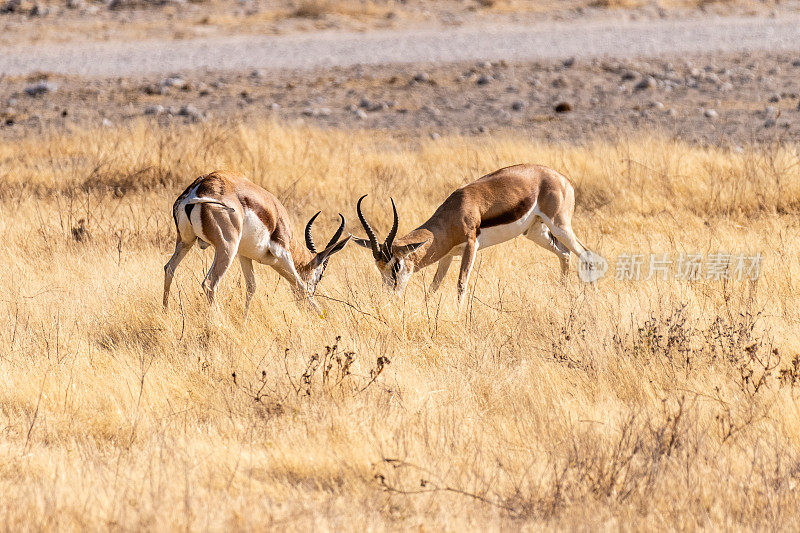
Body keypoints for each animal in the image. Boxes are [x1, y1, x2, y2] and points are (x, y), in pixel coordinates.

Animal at [162, 170, 350, 318]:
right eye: (319, 276)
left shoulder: (244, 255)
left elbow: (251, 287)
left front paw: (244, 321)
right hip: (227, 248)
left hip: (186, 241)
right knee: (209, 283)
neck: (277, 217)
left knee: (169, 268)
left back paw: (165, 313)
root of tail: (198, 188)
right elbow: (301, 285)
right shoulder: (282, 253)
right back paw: (219, 322)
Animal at [354, 162, 592, 306]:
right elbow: (433, 286)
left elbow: (461, 283)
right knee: (564, 254)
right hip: (535, 232)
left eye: (396, 266)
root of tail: (562, 178)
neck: (455, 212)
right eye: (379, 268)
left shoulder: (470, 247)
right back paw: (562, 293)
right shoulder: (448, 255)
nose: (391, 295)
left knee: (585, 253)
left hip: (560, 225)